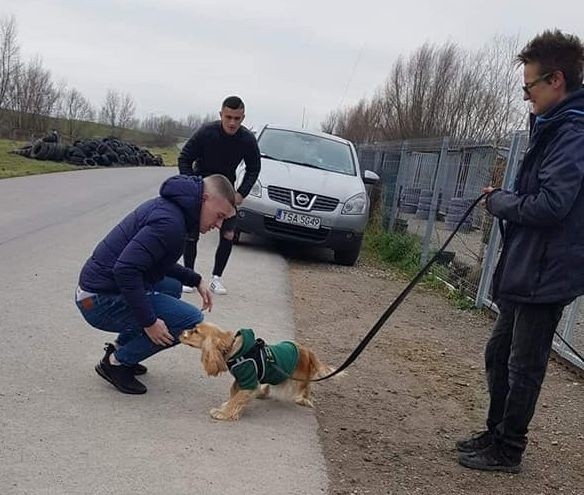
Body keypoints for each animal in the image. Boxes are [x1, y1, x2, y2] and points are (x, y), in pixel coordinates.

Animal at [179, 322, 338, 422]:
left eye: (196, 331)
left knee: (306, 387)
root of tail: (308, 351)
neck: (233, 348)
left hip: (298, 379)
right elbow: (234, 394)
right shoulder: (240, 379)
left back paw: (303, 399)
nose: (181, 332)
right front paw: (226, 407)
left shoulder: (248, 381)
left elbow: (237, 398)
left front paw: (223, 413)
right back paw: (263, 392)